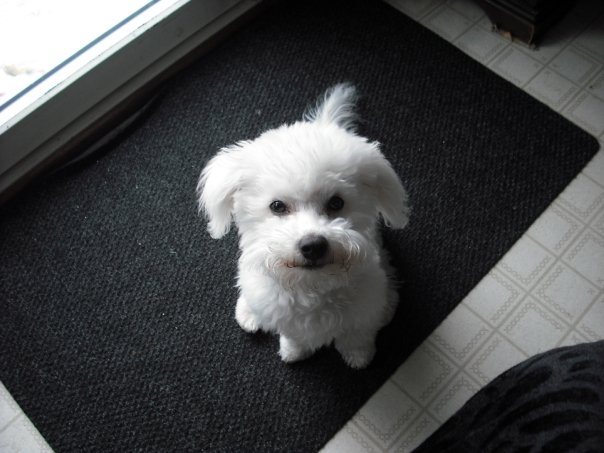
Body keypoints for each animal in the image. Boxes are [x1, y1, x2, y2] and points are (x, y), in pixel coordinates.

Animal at [197, 83, 409, 368]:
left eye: (336, 202)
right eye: (277, 206)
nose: (313, 245)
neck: (312, 287)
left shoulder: (364, 305)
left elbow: (357, 334)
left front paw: (358, 356)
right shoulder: (284, 314)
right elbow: (294, 335)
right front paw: (294, 351)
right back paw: (248, 313)